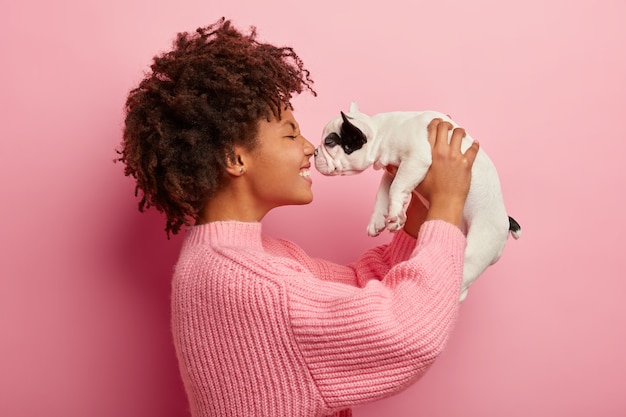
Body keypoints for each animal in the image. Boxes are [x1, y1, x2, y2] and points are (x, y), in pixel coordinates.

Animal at [312, 102, 520, 300]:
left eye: (329, 142)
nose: (314, 152)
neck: (381, 132)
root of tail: (506, 221)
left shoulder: (415, 160)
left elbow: (395, 187)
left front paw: (396, 215)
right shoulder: (393, 170)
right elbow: (383, 192)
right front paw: (377, 220)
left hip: (477, 249)